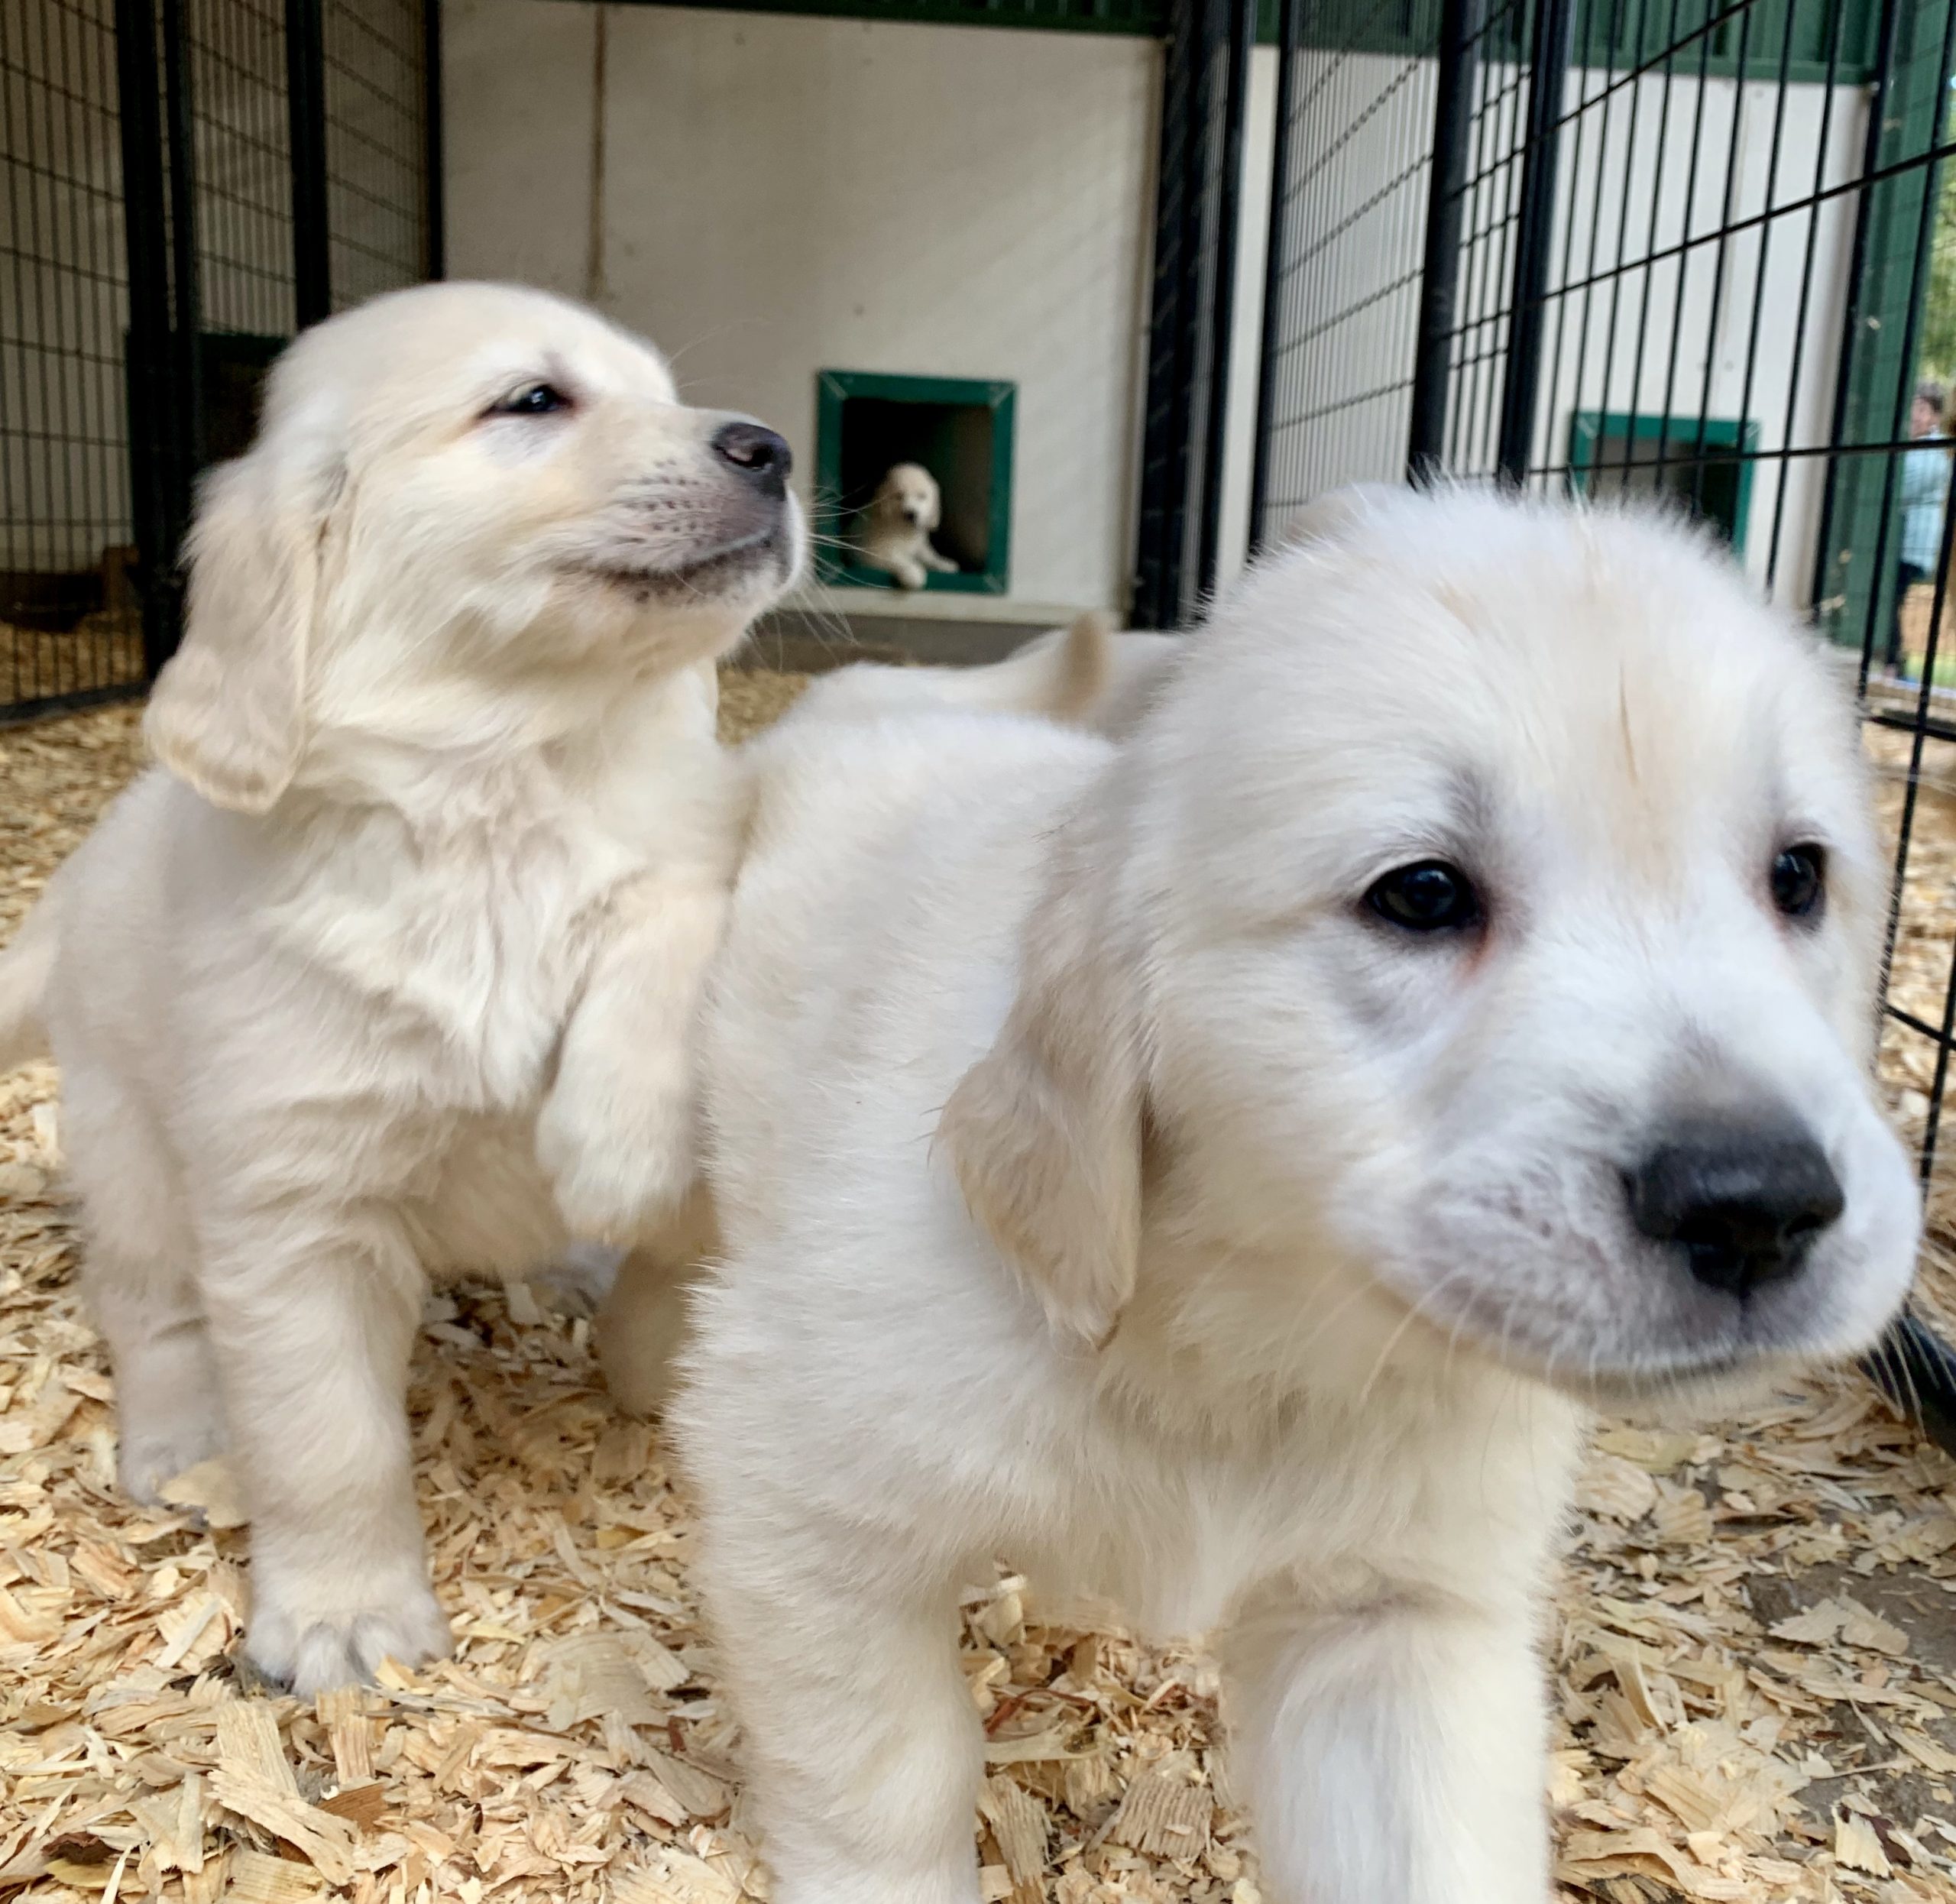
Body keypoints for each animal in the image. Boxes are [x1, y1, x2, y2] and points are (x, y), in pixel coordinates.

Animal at [0, 277, 802, 1690]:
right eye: (532, 400)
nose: (775, 449)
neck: (498, 783)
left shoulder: (701, 847)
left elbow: (664, 917)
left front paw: (618, 1175)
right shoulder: (295, 1214)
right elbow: (329, 1444)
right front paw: (344, 1616)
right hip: (129, 1147)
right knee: (151, 1313)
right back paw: (182, 1443)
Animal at [665, 487, 1916, 1902]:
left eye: (1798, 877)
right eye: (1421, 894)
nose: (1757, 1203)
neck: (1255, 1323)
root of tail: (882, 697)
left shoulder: (1400, 1622)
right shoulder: (802, 1500)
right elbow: (888, 1792)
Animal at [857, 459, 962, 587]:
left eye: (922, 496)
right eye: (899, 496)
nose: (911, 514)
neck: (904, 530)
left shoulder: (920, 545)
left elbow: (929, 556)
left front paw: (943, 563)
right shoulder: (874, 554)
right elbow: (900, 560)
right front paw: (914, 574)